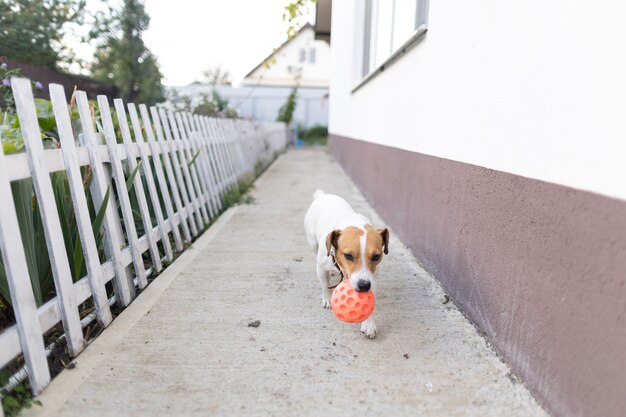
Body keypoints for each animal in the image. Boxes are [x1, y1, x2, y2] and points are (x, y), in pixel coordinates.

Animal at [302, 190, 386, 336]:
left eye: (376, 256)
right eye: (348, 255)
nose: (363, 285)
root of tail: (322, 195)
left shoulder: (373, 277)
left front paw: (368, 323)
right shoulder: (321, 268)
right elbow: (324, 286)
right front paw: (327, 298)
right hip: (312, 242)